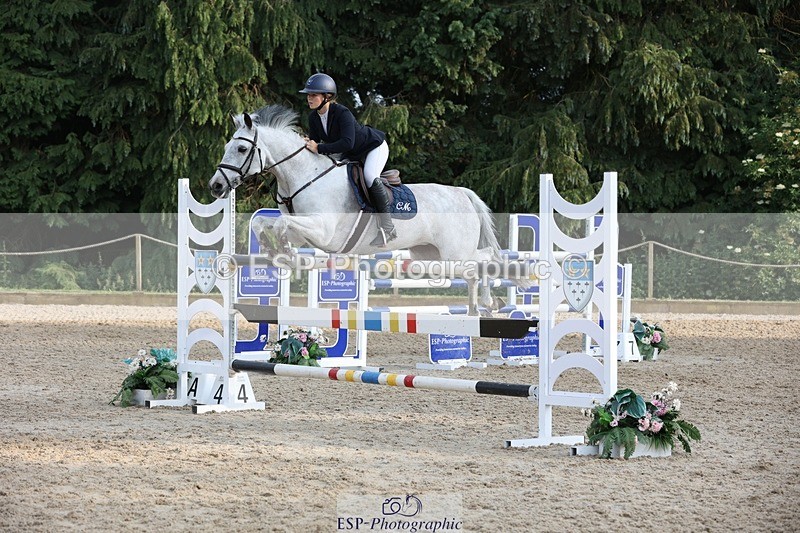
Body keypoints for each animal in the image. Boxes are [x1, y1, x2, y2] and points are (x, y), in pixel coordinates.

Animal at [208, 104, 507, 314]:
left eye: (241, 148)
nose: (216, 186)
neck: (304, 174)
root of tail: (462, 193)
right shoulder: (303, 232)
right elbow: (264, 225)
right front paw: (277, 252)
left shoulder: (324, 231)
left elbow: (282, 225)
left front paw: (283, 252)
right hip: (431, 255)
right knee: (471, 272)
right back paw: (477, 309)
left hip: (454, 253)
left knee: (485, 258)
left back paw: (490, 301)